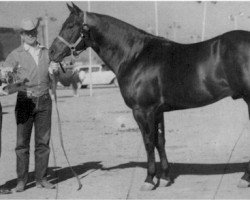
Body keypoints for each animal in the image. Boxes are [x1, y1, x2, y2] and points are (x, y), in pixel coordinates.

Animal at [48, 2, 250, 191]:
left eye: (71, 25)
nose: (51, 52)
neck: (135, 56)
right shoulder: (157, 111)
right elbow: (160, 141)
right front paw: (166, 178)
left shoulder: (142, 110)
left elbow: (148, 142)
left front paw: (149, 179)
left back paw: (244, 178)